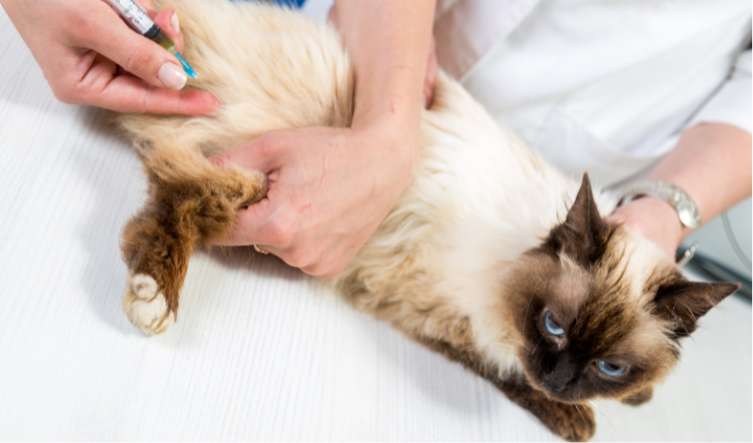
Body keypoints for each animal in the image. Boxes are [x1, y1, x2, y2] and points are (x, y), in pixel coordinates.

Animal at [116, 1, 736, 442]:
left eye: (610, 366)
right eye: (554, 326)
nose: (561, 381)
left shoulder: (431, 312)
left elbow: (505, 363)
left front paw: (630, 399)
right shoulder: (468, 312)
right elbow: (511, 372)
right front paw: (578, 419)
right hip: (253, 181)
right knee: (178, 196)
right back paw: (153, 300)